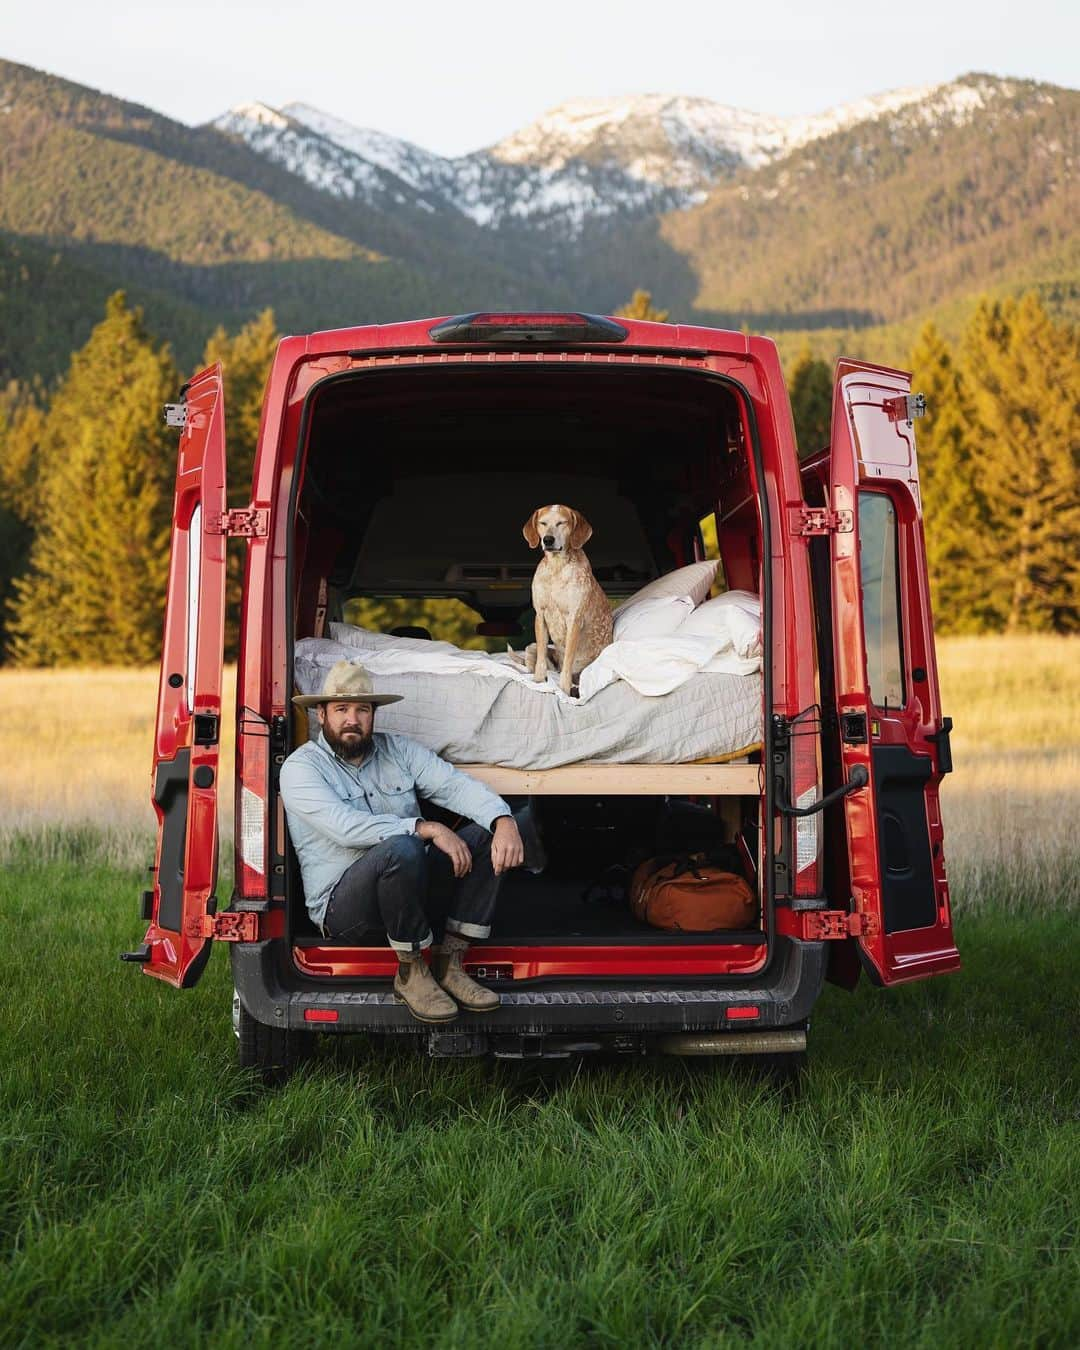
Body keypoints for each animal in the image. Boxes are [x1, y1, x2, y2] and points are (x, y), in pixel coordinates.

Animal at [523, 504, 615, 696]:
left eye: (561, 523)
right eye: (542, 523)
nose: (548, 540)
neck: (556, 568)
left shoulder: (574, 619)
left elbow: (568, 661)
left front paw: (563, 690)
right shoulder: (540, 616)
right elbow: (541, 660)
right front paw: (538, 682)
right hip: (530, 647)